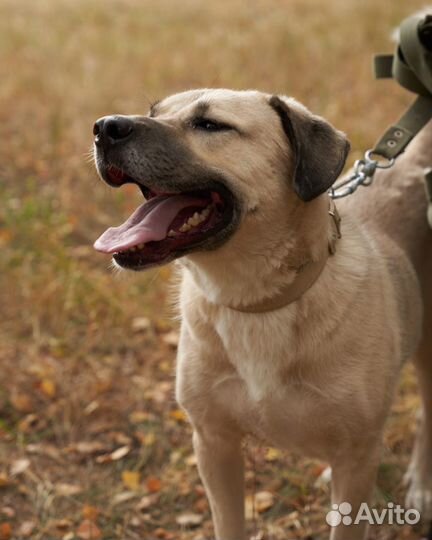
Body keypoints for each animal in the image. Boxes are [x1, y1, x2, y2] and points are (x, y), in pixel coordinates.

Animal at [92, 89, 432, 540]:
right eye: (154, 112)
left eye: (210, 125)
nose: (103, 127)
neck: (257, 302)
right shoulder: (213, 443)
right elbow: (229, 523)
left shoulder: (358, 452)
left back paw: (421, 487)